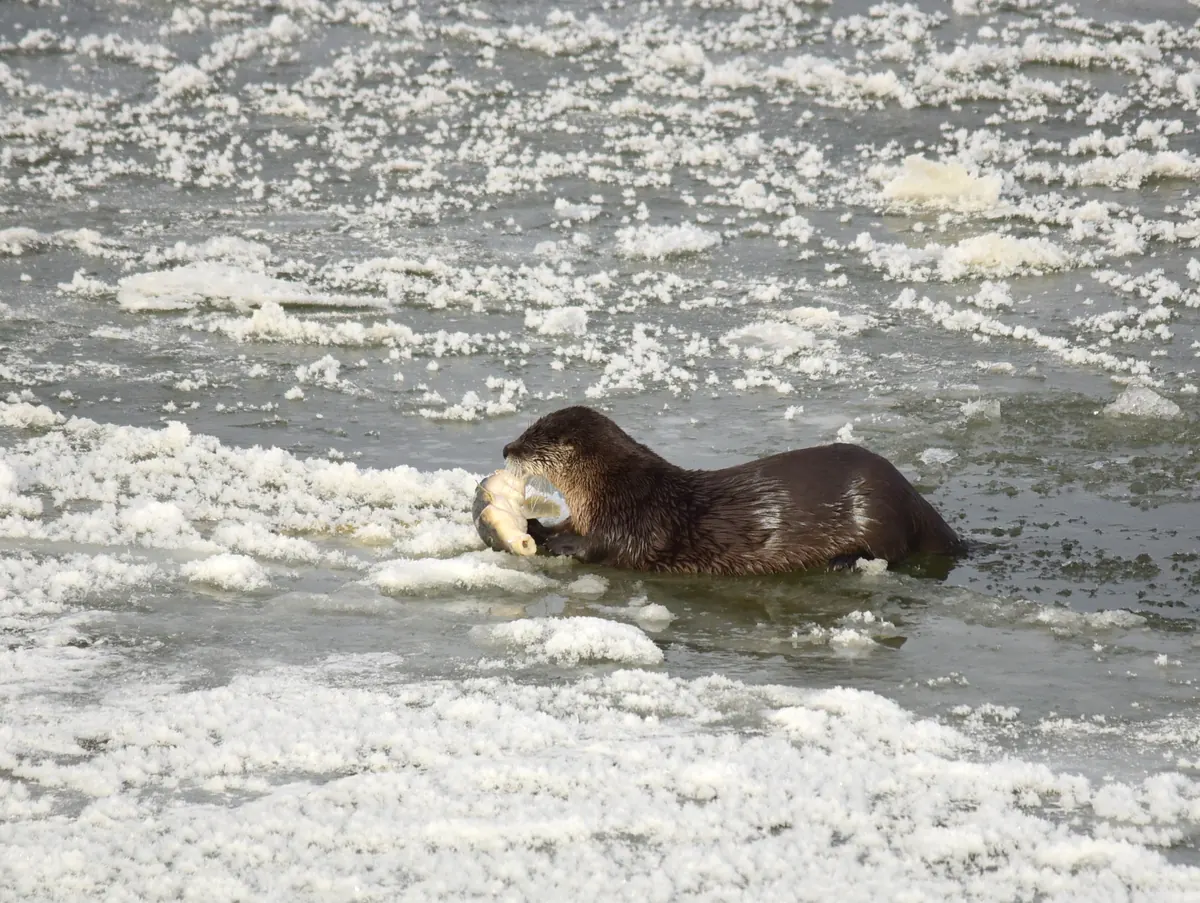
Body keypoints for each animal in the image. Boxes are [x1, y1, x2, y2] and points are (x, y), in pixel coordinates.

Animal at [501, 406, 966, 576]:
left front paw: (554, 543)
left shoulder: (634, 520)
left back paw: (844, 560)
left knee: (893, 552)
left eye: (531, 440)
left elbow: (605, 548)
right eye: (524, 430)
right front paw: (536, 527)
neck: (610, 487)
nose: (505, 447)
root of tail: (912, 495)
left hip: (876, 510)